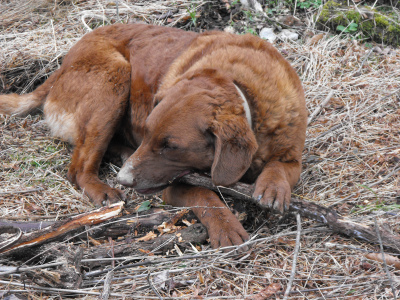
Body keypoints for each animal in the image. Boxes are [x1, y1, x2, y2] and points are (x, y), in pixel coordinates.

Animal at [0, 22, 306, 248]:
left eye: (170, 146)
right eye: (147, 133)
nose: (124, 179)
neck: (242, 88)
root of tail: (59, 68)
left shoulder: (293, 158)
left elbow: (279, 167)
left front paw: (272, 187)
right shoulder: (172, 185)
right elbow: (205, 197)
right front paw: (225, 226)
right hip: (115, 78)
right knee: (78, 169)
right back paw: (103, 189)